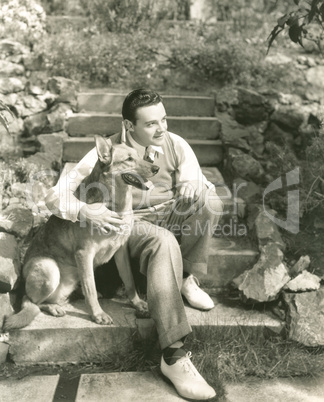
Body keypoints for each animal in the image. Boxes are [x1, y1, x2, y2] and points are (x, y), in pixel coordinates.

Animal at [2, 134, 159, 330]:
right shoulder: (84, 253)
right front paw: (98, 314)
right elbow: (90, 287)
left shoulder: (121, 250)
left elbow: (129, 280)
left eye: (139, 155)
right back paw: (53, 307)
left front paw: (136, 303)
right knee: (29, 301)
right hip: (49, 269)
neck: (116, 203)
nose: (156, 168)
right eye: (129, 159)